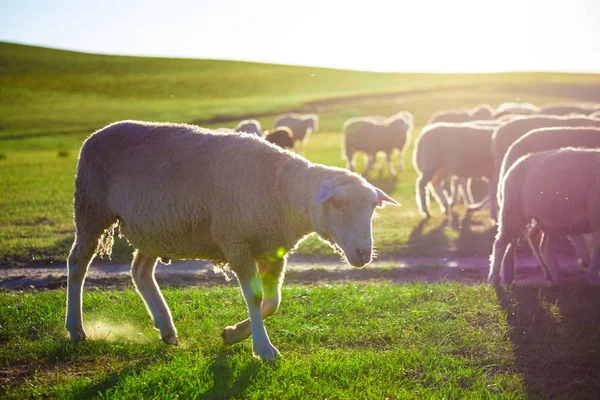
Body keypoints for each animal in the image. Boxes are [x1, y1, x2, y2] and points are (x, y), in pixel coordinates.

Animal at [65, 120, 398, 360]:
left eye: (373, 208)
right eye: (338, 204)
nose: (363, 253)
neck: (282, 189)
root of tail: (96, 134)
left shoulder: (273, 250)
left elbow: (273, 301)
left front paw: (233, 334)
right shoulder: (238, 242)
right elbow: (256, 298)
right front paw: (263, 349)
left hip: (156, 227)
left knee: (140, 271)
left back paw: (166, 328)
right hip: (91, 208)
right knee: (77, 264)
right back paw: (76, 328)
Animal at [488, 147, 600, 284]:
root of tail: (517, 162)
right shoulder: (596, 218)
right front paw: (594, 279)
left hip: (553, 220)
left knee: (544, 248)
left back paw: (558, 278)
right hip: (513, 211)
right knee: (500, 244)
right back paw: (493, 279)